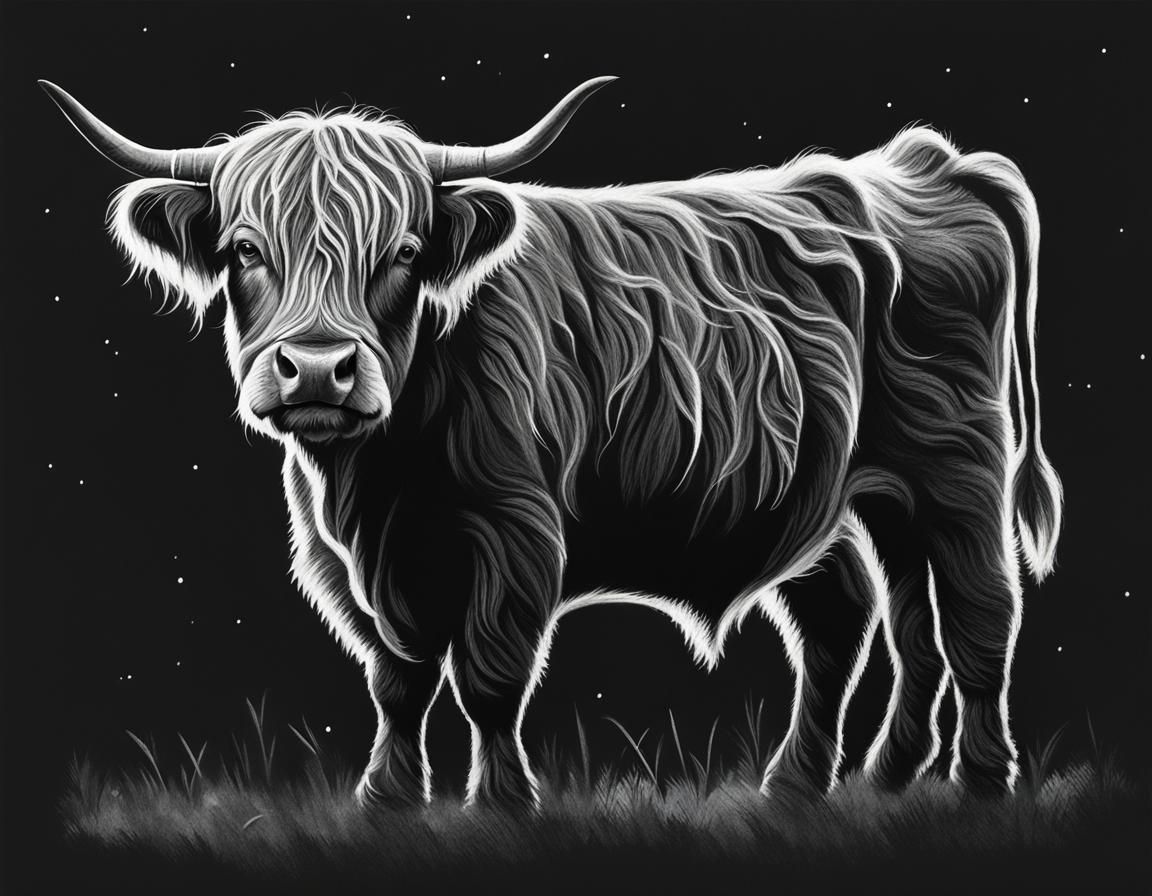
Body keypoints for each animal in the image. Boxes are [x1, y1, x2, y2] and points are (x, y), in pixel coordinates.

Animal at [42, 76, 1062, 811]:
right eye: (245, 251)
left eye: (404, 253)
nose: (320, 370)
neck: (376, 482)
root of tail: (930, 164)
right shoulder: (347, 559)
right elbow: (397, 677)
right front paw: (387, 798)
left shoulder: (517, 533)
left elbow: (488, 675)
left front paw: (500, 804)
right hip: (853, 494)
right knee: (872, 617)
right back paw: (840, 781)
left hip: (958, 470)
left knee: (977, 617)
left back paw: (978, 782)